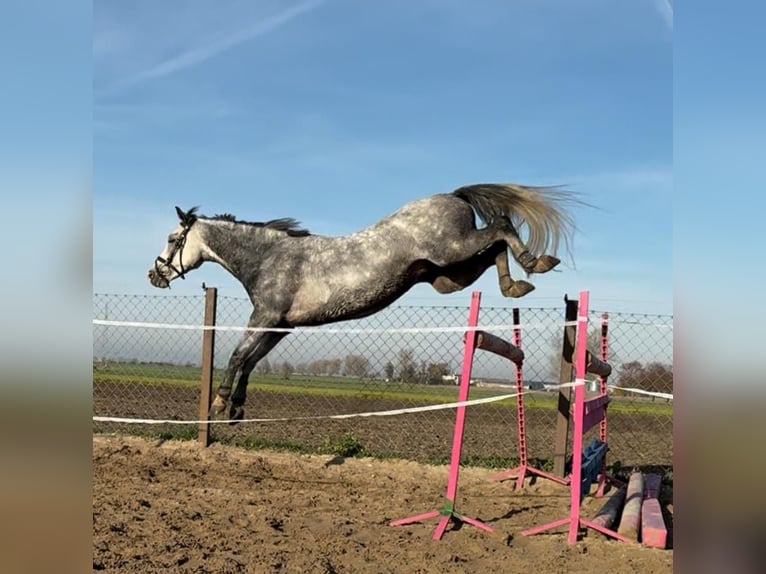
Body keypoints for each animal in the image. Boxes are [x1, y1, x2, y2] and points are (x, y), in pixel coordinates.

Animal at [148, 182, 582, 422]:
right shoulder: (280, 325)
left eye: (172, 239)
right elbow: (252, 360)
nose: (154, 275)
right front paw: (237, 409)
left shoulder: (266, 316)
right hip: (448, 273)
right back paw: (517, 285)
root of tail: (451, 195)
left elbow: (239, 355)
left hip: (452, 251)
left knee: (502, 227)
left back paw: (535, 263)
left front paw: (219, 405)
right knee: (494, 248)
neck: (268, 257)